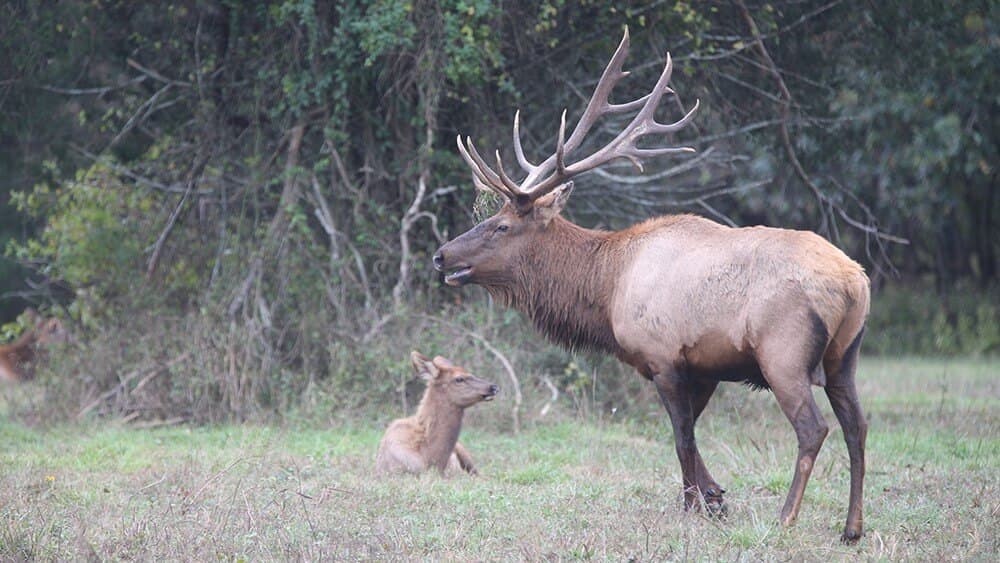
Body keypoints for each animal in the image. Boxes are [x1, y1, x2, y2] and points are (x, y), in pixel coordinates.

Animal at [432, 29, 870, 543]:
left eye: (501, 226)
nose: (442, 255)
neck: (605, 289)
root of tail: (854, 282)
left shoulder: (663, 357)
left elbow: (681, 437)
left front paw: (694, 507)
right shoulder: (703, 367)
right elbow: (690, 435)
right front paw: (715, 498)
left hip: (784, 353)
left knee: (813, 429)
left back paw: (786, 518)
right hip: (844, 356)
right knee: (857, 426)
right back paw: (852, 527)